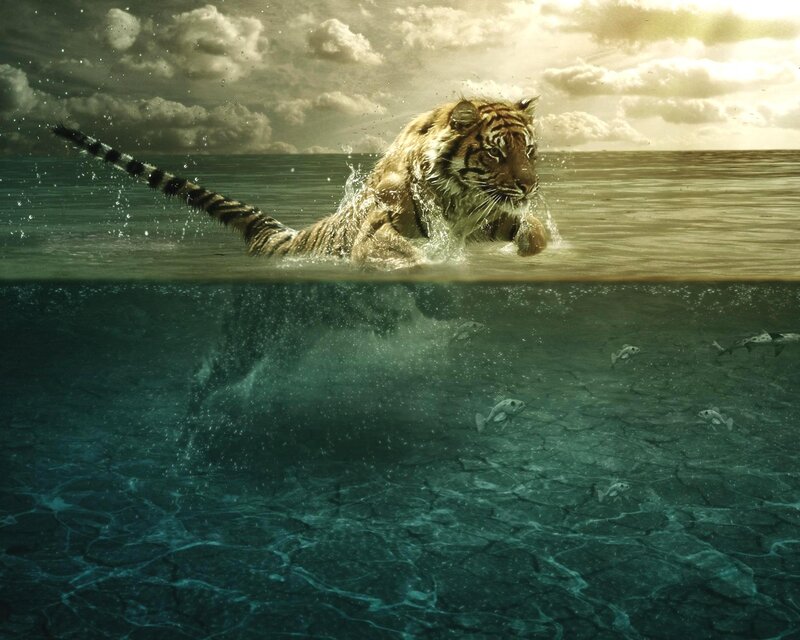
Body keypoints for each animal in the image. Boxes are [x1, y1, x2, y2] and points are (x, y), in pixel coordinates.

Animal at [53, 97, 548, 269]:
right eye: (495, 153)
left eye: (529, 151)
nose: (529, 187)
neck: (460, 201)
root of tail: (278, 236)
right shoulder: (380, 226)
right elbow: (401, 253)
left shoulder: (489, 218)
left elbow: (533, 232)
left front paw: (530, 247)